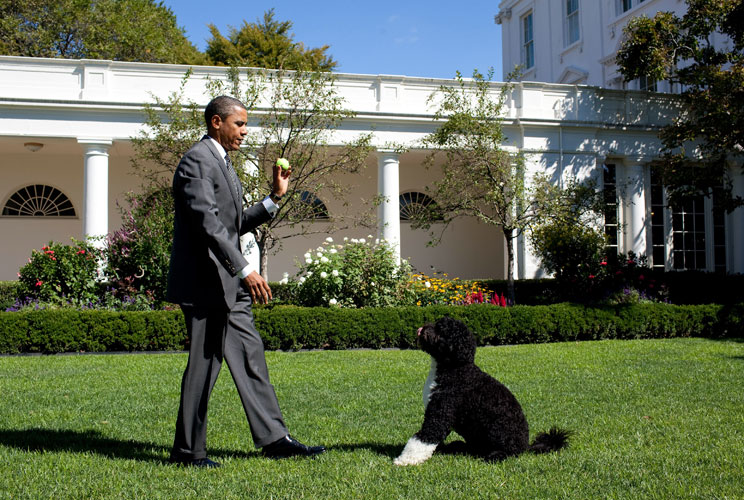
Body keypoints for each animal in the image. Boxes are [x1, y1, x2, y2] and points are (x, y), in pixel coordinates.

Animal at [396, 316, 568, 464]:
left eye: (441, 330)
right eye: (437, 323)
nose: (422, 328)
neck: (455, 369)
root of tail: (526, 446)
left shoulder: (440, 413)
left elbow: (423, 438)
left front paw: (405, 460)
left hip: (499, 435)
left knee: (510, 453)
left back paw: (495, 455)